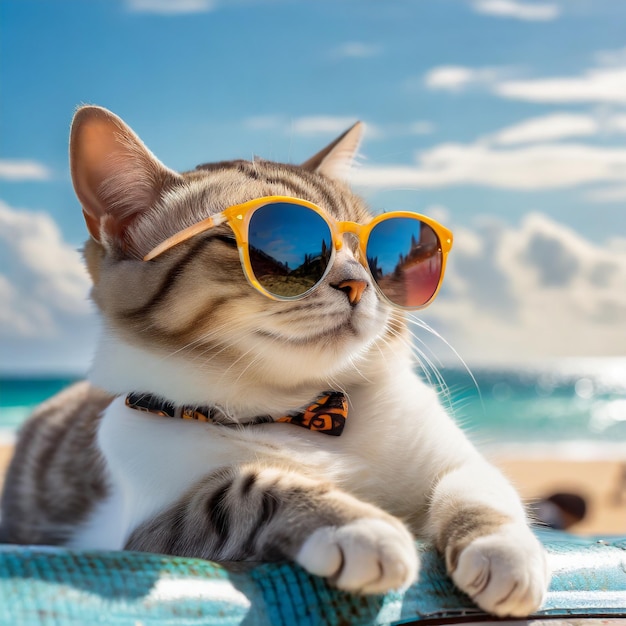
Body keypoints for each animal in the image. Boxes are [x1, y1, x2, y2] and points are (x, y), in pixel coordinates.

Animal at [0, 106, 544, 616]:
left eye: (367, 250)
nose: (358, 282)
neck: (304, 410)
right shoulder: (148, 528)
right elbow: (252, 490)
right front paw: (362, 526)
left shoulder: (451, 458)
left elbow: (476, 487)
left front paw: (501, 548)